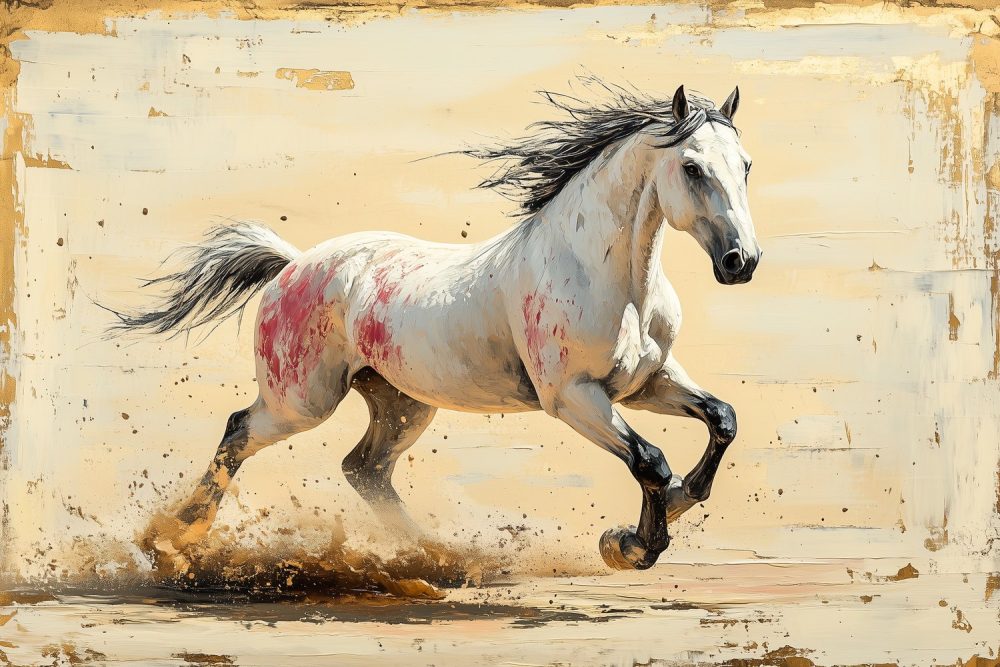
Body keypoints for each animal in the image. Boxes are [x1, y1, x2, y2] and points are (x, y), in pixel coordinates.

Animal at [109, 81, 760, 571]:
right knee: (240, 431)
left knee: (364, 470)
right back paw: (175, 539)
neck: (611, 281)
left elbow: (722, 419)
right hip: (300, 401)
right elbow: (650, 459)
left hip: (401, 403)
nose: (741, 262)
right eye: (692, 167)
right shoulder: (573, 397)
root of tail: (293, 264)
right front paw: (631, 546)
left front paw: (671, 508)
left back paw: (433, 555)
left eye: (746, 166)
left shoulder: (646, 384)